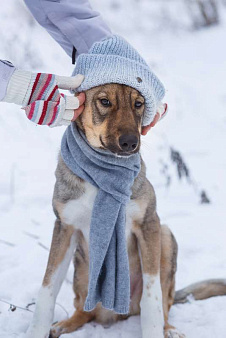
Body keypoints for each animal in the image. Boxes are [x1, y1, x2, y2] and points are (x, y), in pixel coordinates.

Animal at [24, 84, 226, 338]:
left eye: (138, 104)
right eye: (104, 102)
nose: (131, 142)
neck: (102, 172)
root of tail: (114, 313)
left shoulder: (149, 223)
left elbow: (152, 296)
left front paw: (154, 330)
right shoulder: (64, 226)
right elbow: (47, 286)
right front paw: (37, 330)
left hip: (166, 236)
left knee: (164, 304)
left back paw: (169, 329)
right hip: (82, 268)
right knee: (84, 310)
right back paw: (65, 324)